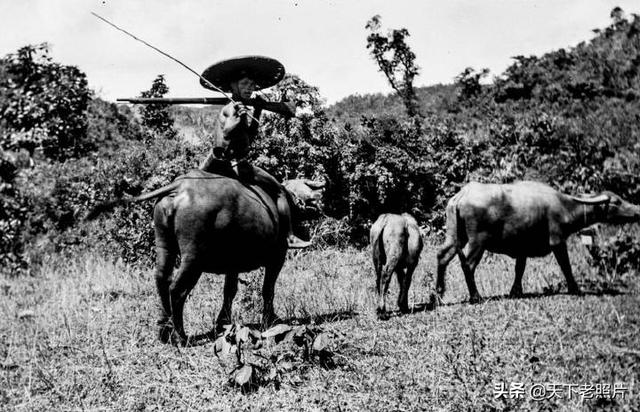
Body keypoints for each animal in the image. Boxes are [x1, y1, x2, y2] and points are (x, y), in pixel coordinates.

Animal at [87, 169, 320, 346]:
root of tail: (180, 186)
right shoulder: (277, 258)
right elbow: (267, 289)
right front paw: (270, 320)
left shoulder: (233, 264)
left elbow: (229, 291)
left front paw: (222, 323)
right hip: (194, 257)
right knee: (177, 289)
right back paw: (180, 336)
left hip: (164, 244)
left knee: (161, 279)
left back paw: (164, 330)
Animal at [436, 180, 640, 302]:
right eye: (616, 202)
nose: (637, 210)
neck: (565, 206)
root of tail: (461, 196)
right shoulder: (558, 241)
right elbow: (566, 266)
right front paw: (575, 289)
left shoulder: (522, 249)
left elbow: (519, 269)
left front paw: (515, 292)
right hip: (478, 241)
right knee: (468, 264)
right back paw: (476, 296)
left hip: (455, 236)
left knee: (442, 256)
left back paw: (438, 293)